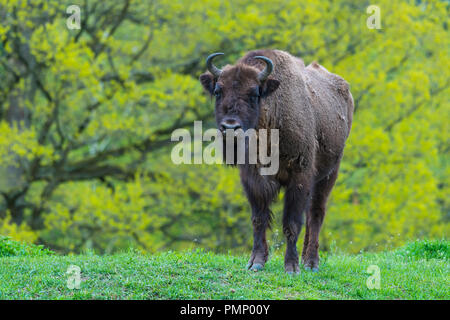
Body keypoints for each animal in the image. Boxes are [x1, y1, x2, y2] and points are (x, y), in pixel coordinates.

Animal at [199, 48, 354, 274]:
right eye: (218, 91)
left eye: (254, 93)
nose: (230, 127)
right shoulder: (253, 179)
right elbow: (259, 219)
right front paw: (256, 262)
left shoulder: (299, 177)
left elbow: (291, 222)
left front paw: (291, 266)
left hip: (329, 174)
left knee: (316, 213)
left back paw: (311, 263)